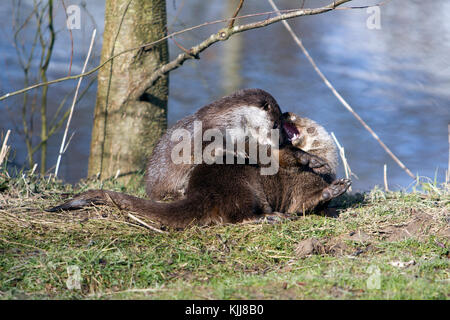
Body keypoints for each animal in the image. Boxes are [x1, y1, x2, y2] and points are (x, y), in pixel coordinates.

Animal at [49, 109, 352, 228]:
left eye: (297, 117)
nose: (287, 112)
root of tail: (202, 192)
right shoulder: (290, 174)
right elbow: (296, 181)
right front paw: (328, 181)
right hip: (244, 186)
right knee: (237, 216)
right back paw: (271, 217)